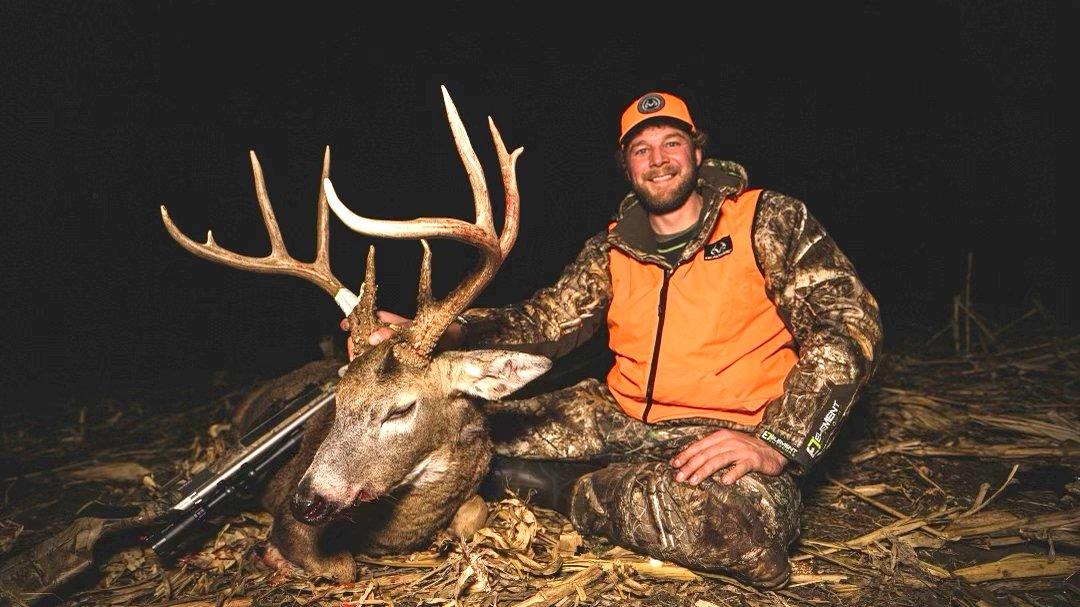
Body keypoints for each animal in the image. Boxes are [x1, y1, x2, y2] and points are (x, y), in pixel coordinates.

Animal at [159, 86, 551, 581]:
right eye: (338, 400)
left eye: (401, 409)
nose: (306, 500)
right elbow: (343, 566)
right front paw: (274, 554)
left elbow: (471, 513)